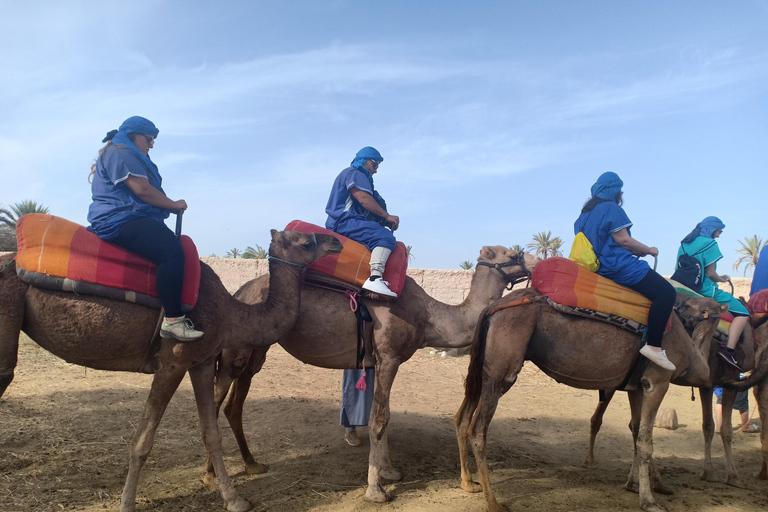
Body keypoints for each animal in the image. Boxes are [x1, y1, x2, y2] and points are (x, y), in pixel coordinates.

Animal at [0, 229, 342, 512]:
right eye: (303, 240)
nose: (336, 242)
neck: (230, 311)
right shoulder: (172, 362)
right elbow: (142, 442)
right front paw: (127, 505)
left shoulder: (201, 361)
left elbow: (210, 432)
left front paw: (234, 500)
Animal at [204, 244, 540, 500]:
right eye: (512, 252)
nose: (537, 263)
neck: (429, 316)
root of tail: (241, 290)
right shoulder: (390, 357)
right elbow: (379, 418)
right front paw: (375, 490)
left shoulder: (380, 362)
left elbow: (384, 415)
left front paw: (388, 471)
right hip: (235, 351)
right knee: (216, 400)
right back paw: (212, 479)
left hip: (255, 351)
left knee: (234, 404)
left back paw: (251, 464)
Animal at [452, 286, 724, 510]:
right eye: (702, 310)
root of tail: (492, 307)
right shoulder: (658, 381)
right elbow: (646, 440)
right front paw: (649, 500)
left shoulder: (636, 386)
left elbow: (636, 431)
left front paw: (635, 485)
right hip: (503, 369)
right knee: (478, 429)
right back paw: (493, 502)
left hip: (485, 367)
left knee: (463, 417)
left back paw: (469, 484)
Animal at [584, 292, 756, 488]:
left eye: (690, 305)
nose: (680, 307)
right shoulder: (730, 383)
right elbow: (724, 429)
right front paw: (732, 476)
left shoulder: (708, 384)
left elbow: (709, 425)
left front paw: (710, 472)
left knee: (616, 420)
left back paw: (595, 462)